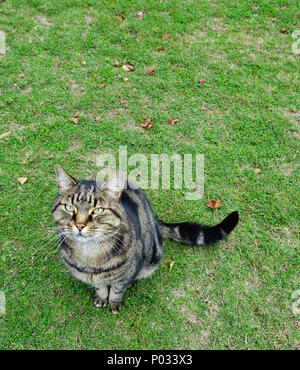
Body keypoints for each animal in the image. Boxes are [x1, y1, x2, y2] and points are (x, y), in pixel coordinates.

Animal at [52, 166, 239, 314]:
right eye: (69, 207)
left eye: (98, 210)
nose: (79, 225)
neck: (90, 255)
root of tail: (155, 220)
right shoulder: (97, 279)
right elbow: (101, 287)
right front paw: (102, 297)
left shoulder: (125, 275)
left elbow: (117, 290)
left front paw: (114, 302)